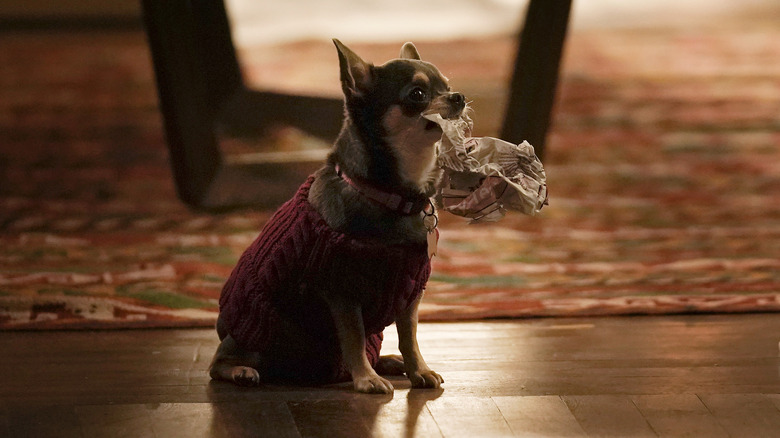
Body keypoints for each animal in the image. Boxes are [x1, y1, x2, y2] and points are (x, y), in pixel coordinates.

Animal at [209, 39, 464, 394]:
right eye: (417, 94)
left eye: (448, 86)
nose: (459, 97)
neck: (393, 195)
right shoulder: (342, 291)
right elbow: (353, 338)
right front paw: (367, 379)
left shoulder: (410, 295)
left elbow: (409, 337)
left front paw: (419, 370)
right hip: (255, 330)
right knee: (217, 362)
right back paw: (240, 371)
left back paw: (388, 362)